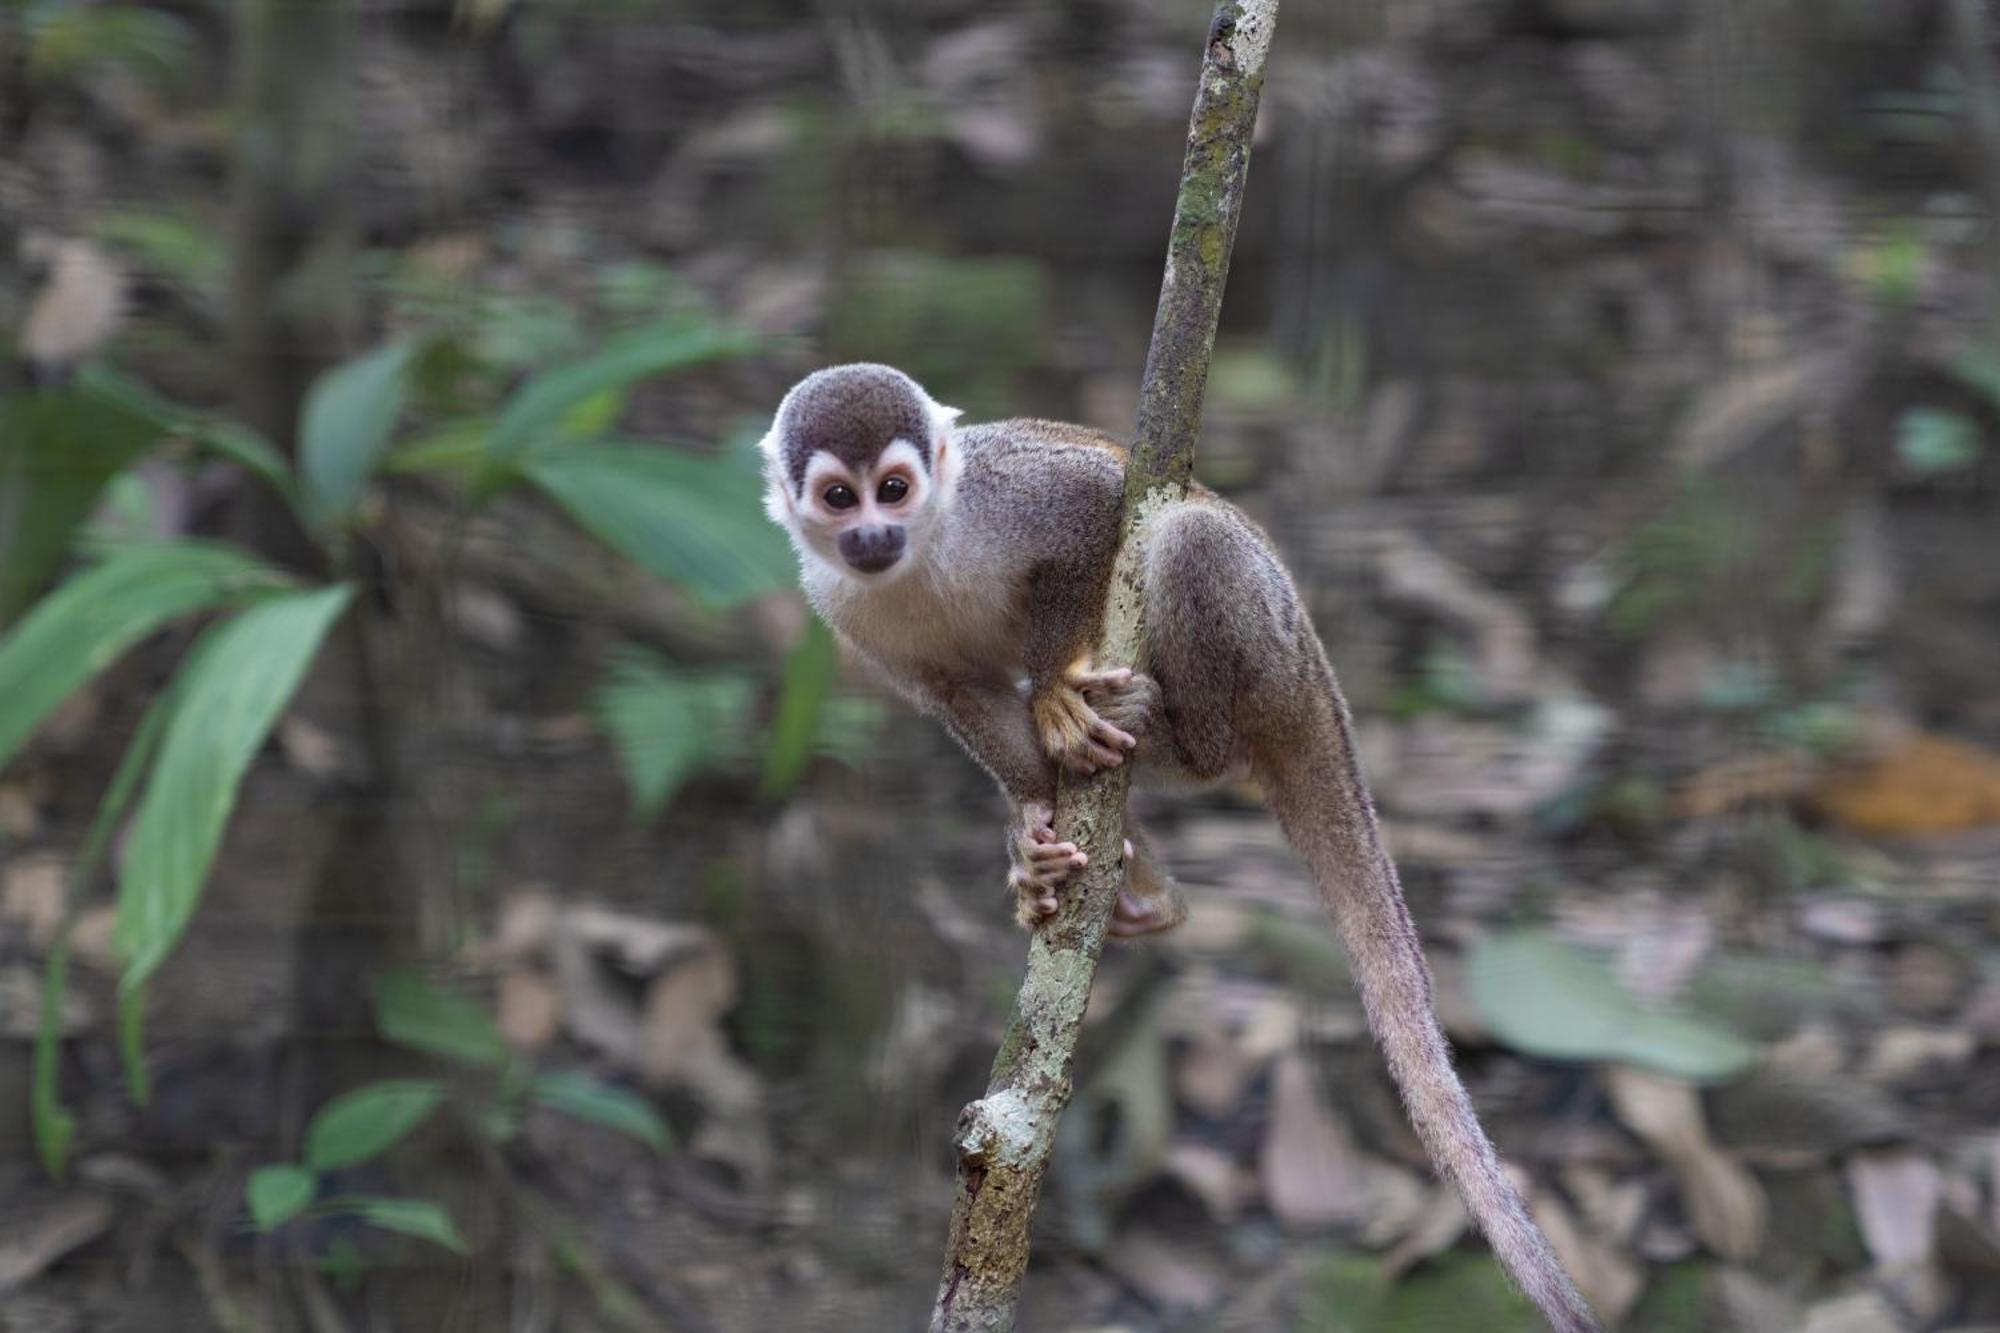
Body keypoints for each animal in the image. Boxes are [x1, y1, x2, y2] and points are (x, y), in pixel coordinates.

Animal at [756, 364, 1600, 1328]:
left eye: (894, 488)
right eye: (839, 496)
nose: (870, 531)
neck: (924, 553)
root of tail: (1313, 669)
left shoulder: (1001, 495)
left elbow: (1097, 507)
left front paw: (1054, 689)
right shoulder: (840, 606)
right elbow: (960, 696)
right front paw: (1032, 829)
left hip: (1263, 633)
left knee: (1187, 535)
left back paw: (1175, 736)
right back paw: (1144, 886)